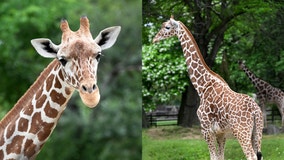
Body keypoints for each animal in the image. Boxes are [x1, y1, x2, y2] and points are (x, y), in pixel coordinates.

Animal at [153, 16, 264, 160]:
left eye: (167, 27)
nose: (154, 39)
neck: (202, 86)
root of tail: (256, 111)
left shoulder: (206, 129)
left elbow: (213, 157)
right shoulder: (221, 132)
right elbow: (221, 157)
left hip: (241, 132)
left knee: (251, 155)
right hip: (257, 132)